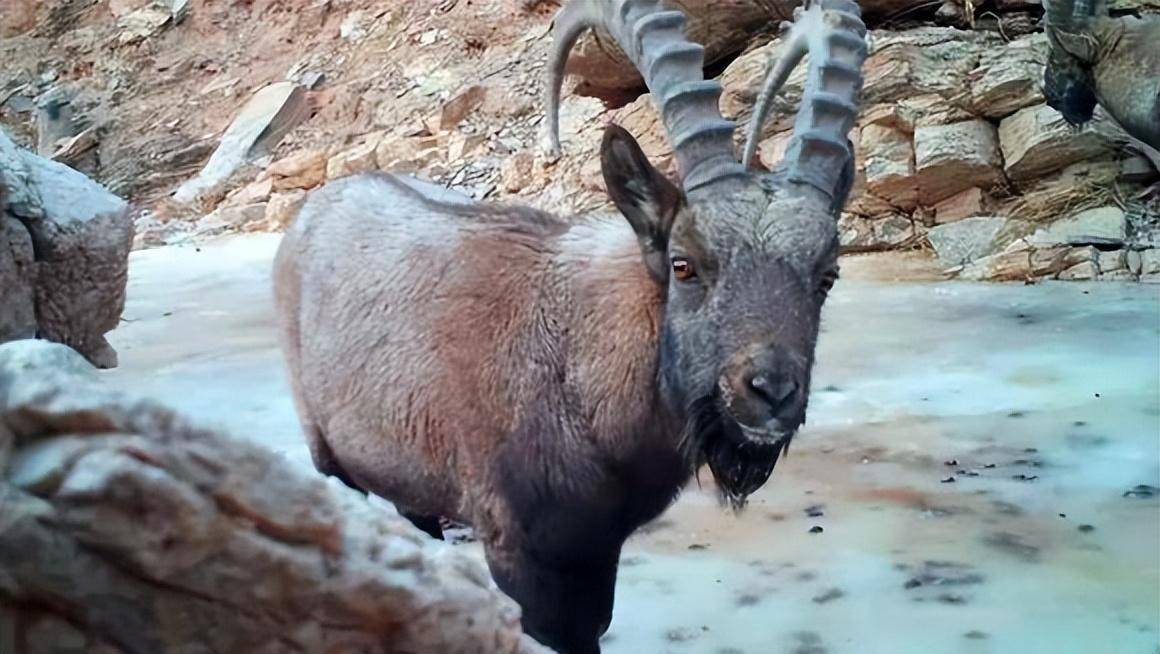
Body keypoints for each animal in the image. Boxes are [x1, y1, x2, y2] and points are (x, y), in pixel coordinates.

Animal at [276, 2, 867, 649]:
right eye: (684, 264)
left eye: (828, 274)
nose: (770, 393)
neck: (574, 364)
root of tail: (316, 206)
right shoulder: (517, 548)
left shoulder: (594, 550)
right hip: (325, 448)